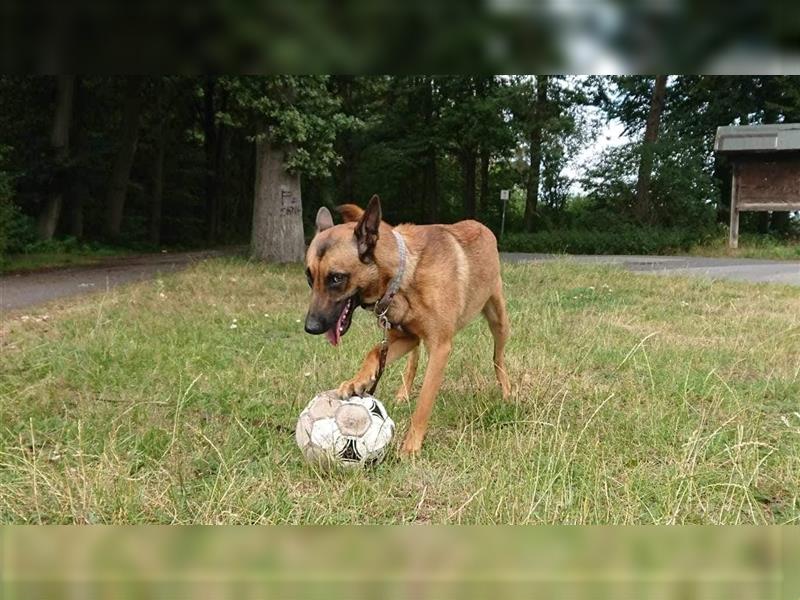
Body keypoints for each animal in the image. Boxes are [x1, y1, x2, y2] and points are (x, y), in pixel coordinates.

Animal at [304, 196, 510, 454]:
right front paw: (358, 381)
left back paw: (507, 392)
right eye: (309, 277)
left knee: (498, 358)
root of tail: (481, 226)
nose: (310, 327)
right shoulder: (405, 336)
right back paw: (403, 392)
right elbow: (374, 352)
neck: (403, 274)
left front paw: (411, 446)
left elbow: (424, 403)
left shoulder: (440, 348)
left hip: (499, 322)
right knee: (412, 364)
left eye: (336, 278)